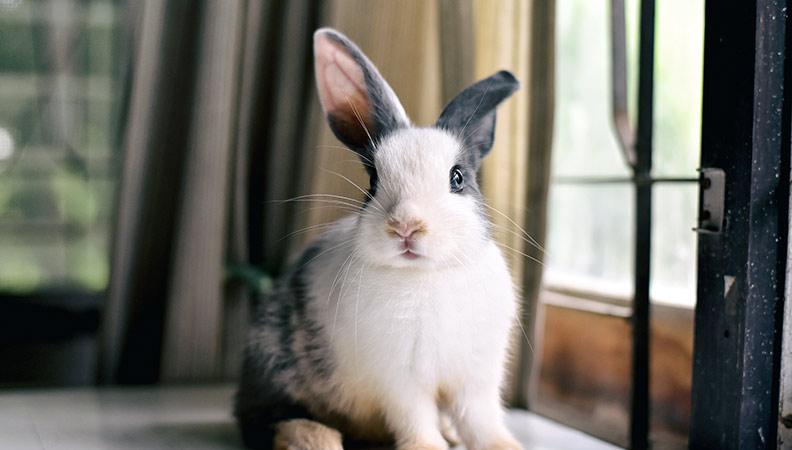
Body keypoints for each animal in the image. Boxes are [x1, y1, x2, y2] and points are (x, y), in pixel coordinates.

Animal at [235, 27, 522, 450]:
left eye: (457, 177)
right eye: (372, 181)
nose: (406, 226)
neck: (426, 276)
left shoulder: (476, 380)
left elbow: (482, 422)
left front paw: (505, 445)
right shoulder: (401, 382)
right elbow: (416, 421)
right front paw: (428, 447)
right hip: (274, 365)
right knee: (265, 420)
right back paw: (316, 438)